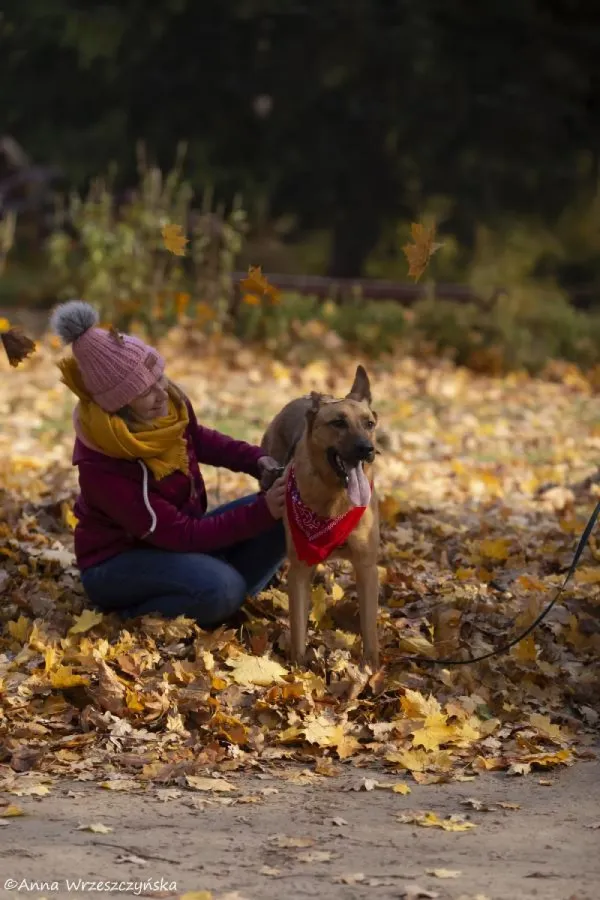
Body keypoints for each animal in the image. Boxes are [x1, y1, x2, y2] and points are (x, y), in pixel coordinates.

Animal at [262, 366, 380, 668]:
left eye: (369, 424)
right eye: (338, 423)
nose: (367, 449)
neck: (335, 500)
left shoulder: (366, 566)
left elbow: (369, 628)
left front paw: (371, 669)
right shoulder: (300, 567)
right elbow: (298, 628)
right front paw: (298, 669)